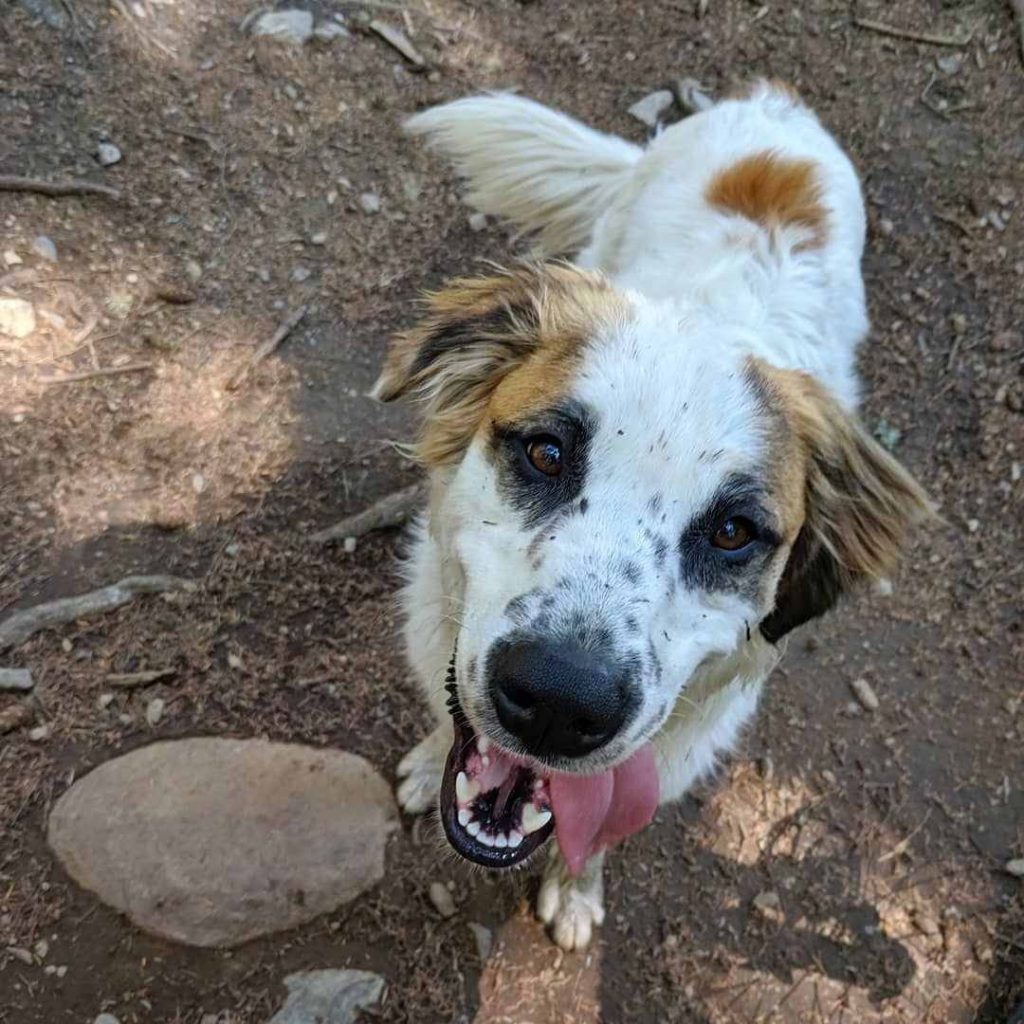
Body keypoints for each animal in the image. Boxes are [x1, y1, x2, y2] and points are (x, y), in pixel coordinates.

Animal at [374, 79, 929, 950]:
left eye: (734, 533)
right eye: (546, 452)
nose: (560, 704)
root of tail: (776, 106)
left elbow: (601, 832)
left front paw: (576, 891)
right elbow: (445, 713)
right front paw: (432, 755)